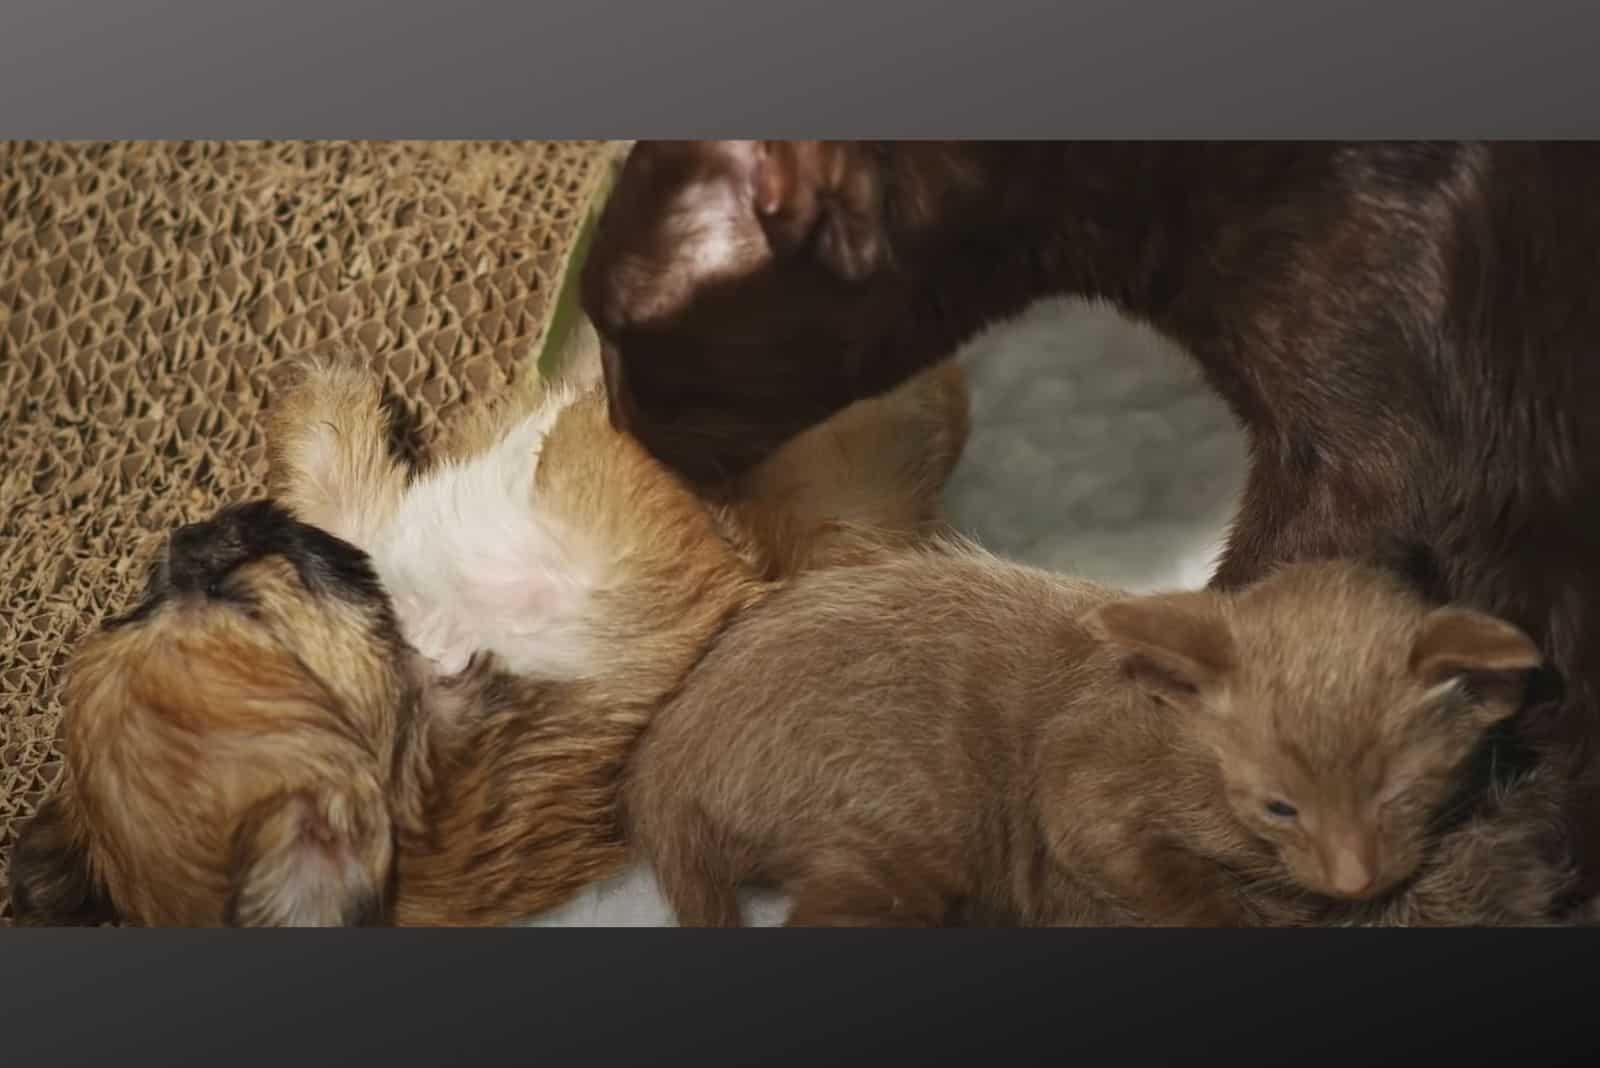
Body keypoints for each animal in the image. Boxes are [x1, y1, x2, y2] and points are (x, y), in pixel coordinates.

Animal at [620, 543, 1561, 927]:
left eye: (1399, 794)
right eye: (1280, 808)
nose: (1355, 878)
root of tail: (667, 759)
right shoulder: (1081, 777)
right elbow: (1145, 864)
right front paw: (1228, 912)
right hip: (899, 831)